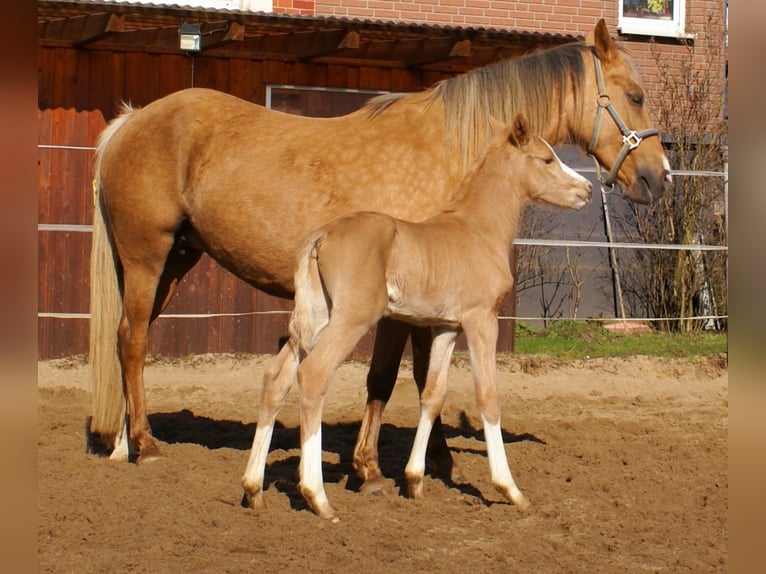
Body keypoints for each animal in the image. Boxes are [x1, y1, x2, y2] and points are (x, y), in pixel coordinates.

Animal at [243, 113, 592, 520]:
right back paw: (318, 497)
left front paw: (414, 481)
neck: (478, 230)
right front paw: (510, 489)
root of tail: (322, 235)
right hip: (351, 319)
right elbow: (488, 396)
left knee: (276, 377)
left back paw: (253, 489)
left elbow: (432, 394)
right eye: (547, 159)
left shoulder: (445, 328)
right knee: (313, 375)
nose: (586, 189)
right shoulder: (481, 320)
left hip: (316, 318)